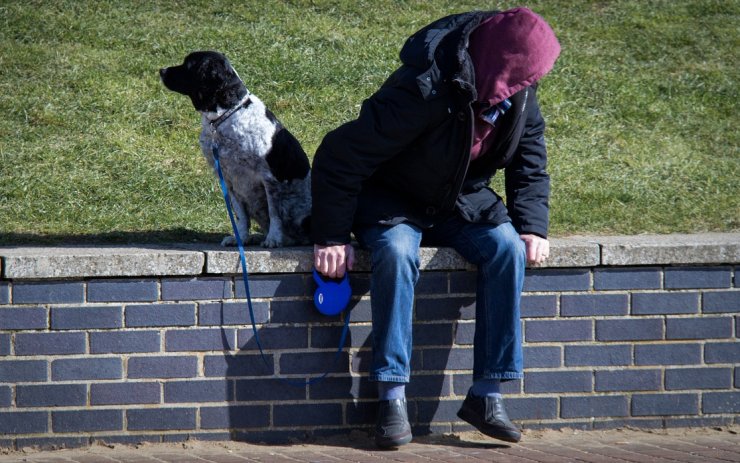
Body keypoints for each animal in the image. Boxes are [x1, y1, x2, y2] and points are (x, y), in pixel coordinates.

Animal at [160, 51, 310, 248]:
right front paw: (241, 238)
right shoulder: (229, 179)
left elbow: (274, 214)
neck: (227, 115)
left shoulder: (270, 180)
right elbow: (241, 216)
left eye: (188, 65)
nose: (161, 70)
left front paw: (273, 239)